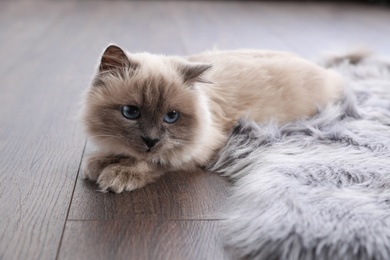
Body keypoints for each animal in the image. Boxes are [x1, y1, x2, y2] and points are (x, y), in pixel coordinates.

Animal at [80, 44, 342, 193]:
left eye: (171, 117)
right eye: (131, 112)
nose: (151, 141)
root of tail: (327, 71)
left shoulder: (199, 148)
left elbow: (155, 161)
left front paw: (118, 174)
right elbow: (123, 152)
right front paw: (101, 162)